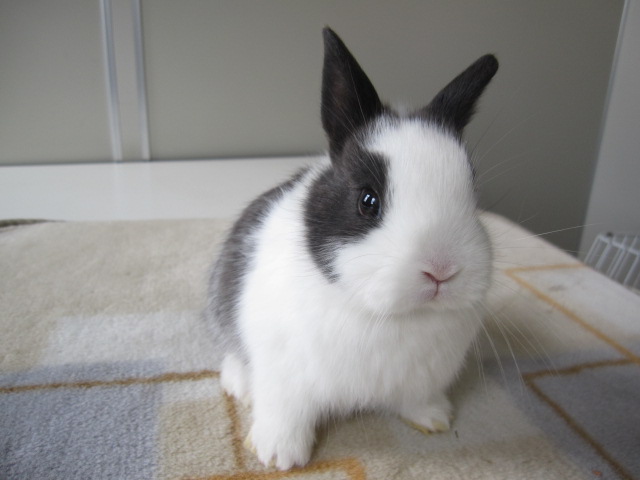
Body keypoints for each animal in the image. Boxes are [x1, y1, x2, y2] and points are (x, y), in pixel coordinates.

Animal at [204, 27, 498, 470]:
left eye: (472, 193)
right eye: (367, 201)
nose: (441, 270)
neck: (386, 316)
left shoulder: (422, 377)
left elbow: (417, 399)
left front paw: (435, 419)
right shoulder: (282, 371)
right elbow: (284, 410)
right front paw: (278, 454)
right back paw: (241, 386)